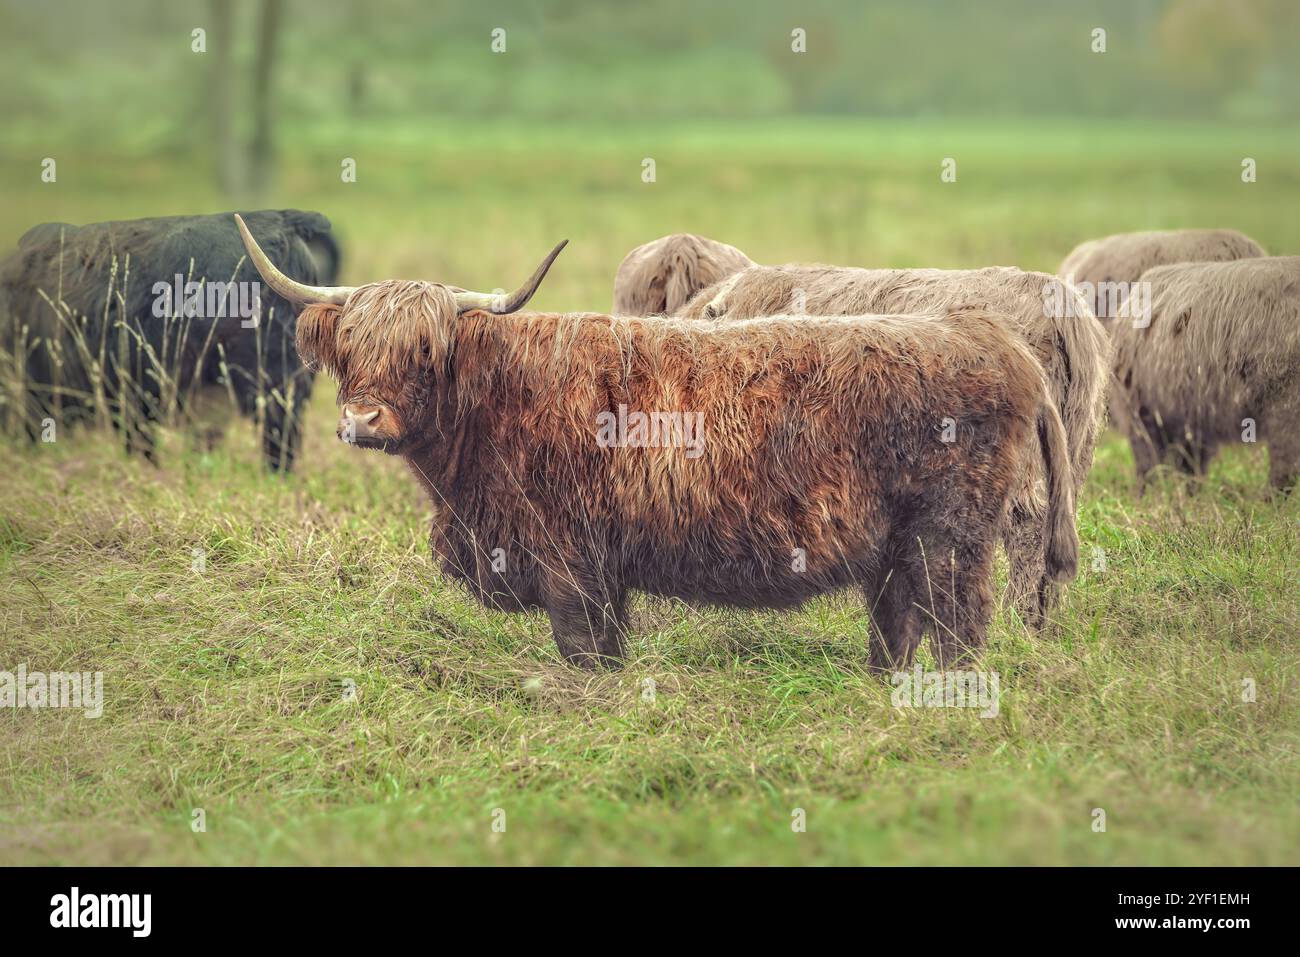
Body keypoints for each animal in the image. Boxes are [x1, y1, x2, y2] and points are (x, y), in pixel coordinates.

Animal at [237, 215, 1078, 670]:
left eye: (423, 350)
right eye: (351, 347)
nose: (364, 420)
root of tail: (992, 338)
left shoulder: (571, 560)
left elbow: (583, 653)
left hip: (953, 536)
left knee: (961, 627)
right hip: (898, 546)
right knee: (898, 626)